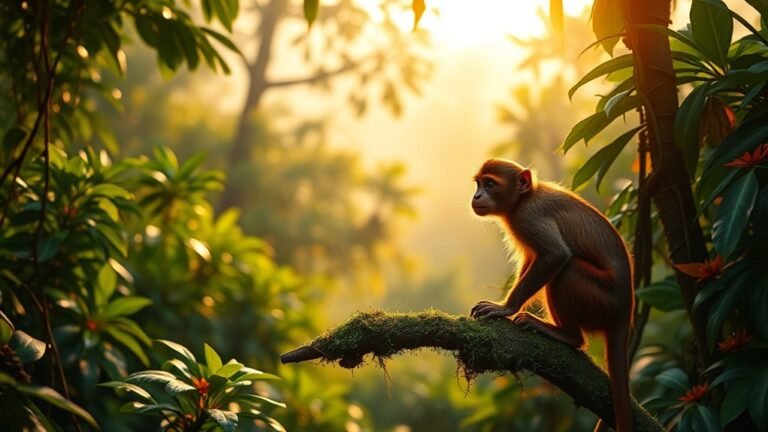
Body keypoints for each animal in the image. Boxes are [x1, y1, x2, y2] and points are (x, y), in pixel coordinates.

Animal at [469, 159, 635, 432]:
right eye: (479, 184)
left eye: (490, 184)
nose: (477, 195)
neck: (523, 199)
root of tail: (626, 307)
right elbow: (533, 259)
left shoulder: (528, 216)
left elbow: (556, 255)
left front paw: (506, 308)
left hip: (602, 300)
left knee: (568, 269)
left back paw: (567, 336)